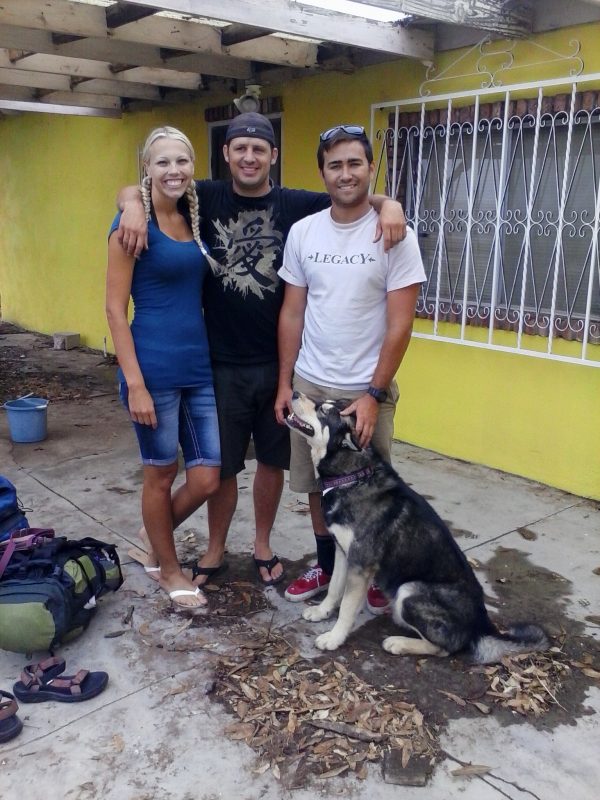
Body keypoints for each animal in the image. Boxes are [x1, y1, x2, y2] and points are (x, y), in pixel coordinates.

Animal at [286, 392, 548, 664]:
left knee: (445, 648)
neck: (354, 476)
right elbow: (334, 588)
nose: (294, 393)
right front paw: (322, 611)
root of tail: (481, 627)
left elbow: (347, 606)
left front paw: (334, 638)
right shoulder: (342, 552)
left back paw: (399, 643)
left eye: (323, 411)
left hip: (409, 591)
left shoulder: (360, 564)